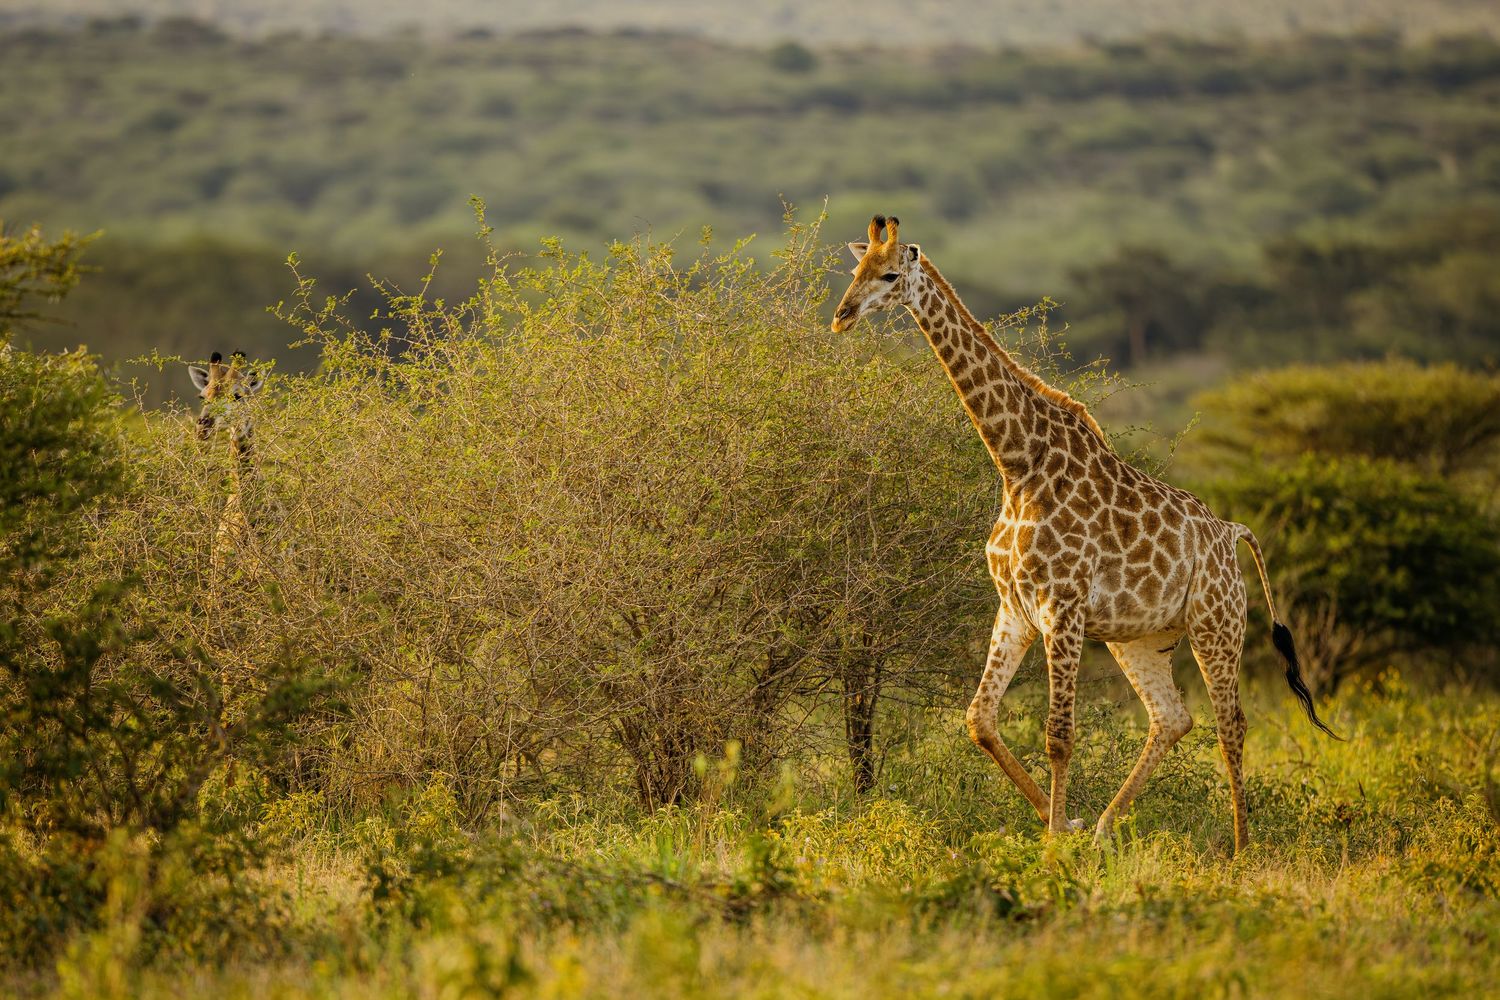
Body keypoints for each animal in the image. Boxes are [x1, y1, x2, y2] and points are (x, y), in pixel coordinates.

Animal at [832, 216, 1339, 853]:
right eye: (855, 269)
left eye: (890, 275)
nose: (842, 316)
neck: (1018, 463)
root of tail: (1231, 531)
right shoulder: (1016, 606)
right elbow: (979, 720)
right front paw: (1065, 825)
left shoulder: (1063, 607)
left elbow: (1059, 735)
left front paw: (1054, 839)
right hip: (1139, 637)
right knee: (1173, 717)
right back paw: (1102, 828)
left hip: (1216, 624)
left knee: (1232, 725)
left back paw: (1241, 849)